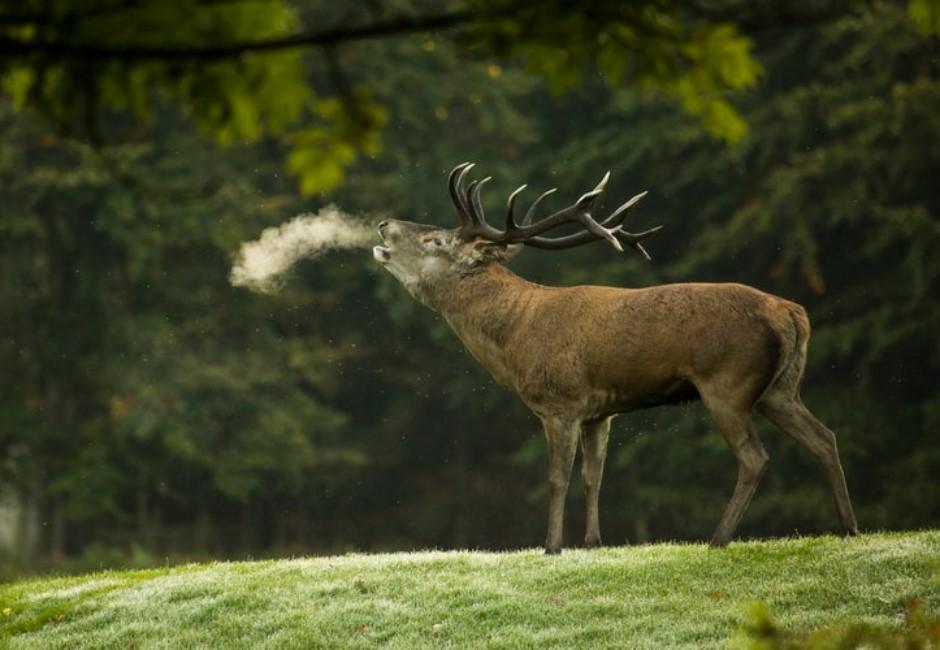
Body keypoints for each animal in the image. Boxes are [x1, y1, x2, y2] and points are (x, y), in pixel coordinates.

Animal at [370, 162, 856, 552]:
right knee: (824, 437)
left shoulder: (560, 402)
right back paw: (848, 527)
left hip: (728, 383)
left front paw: (552, 547)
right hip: (780, 388)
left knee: (754, 457)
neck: (515, 338)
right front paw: (593, 542)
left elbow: (557, 478)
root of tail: (792, 313)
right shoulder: (599, 412)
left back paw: (718, 539)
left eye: (436, 240)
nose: (384, 224)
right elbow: (594, 476)